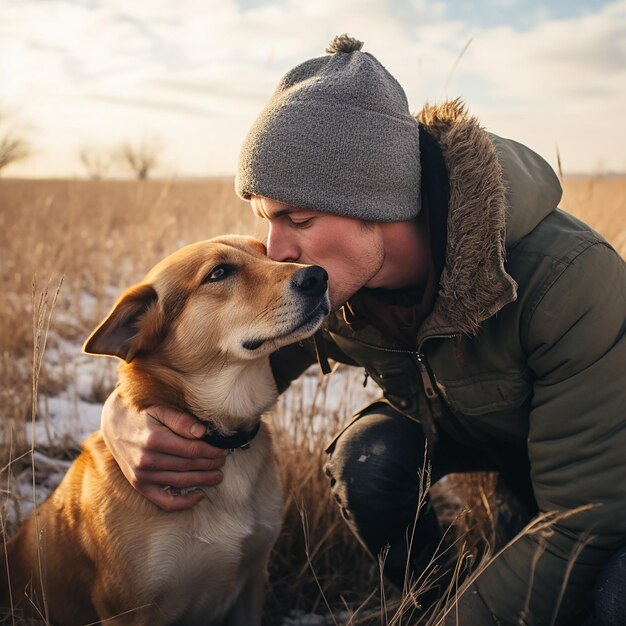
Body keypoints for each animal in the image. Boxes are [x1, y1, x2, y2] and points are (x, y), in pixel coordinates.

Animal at [0, 235, 330, 624]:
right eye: (219, 272)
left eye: (267, 253)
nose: (318, 276)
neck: (221, 438)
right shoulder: (128, 609)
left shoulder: (252, 581)